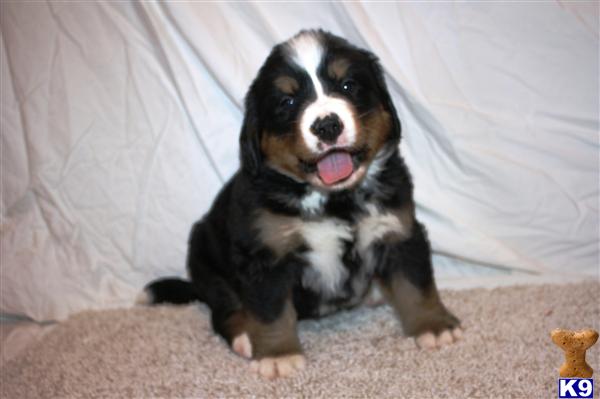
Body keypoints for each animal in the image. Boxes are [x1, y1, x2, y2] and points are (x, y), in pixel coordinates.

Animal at [143, 29, 462, 380]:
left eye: (348, 85)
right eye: (287, 102)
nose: (327, 125)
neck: (335, 199)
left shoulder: (399, 231)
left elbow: (416, 285)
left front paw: (434, 326)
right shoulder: (265, 254)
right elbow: (270, 311)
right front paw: (278, 355)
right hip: (208, 263)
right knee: (223, 310)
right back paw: (244, 336)